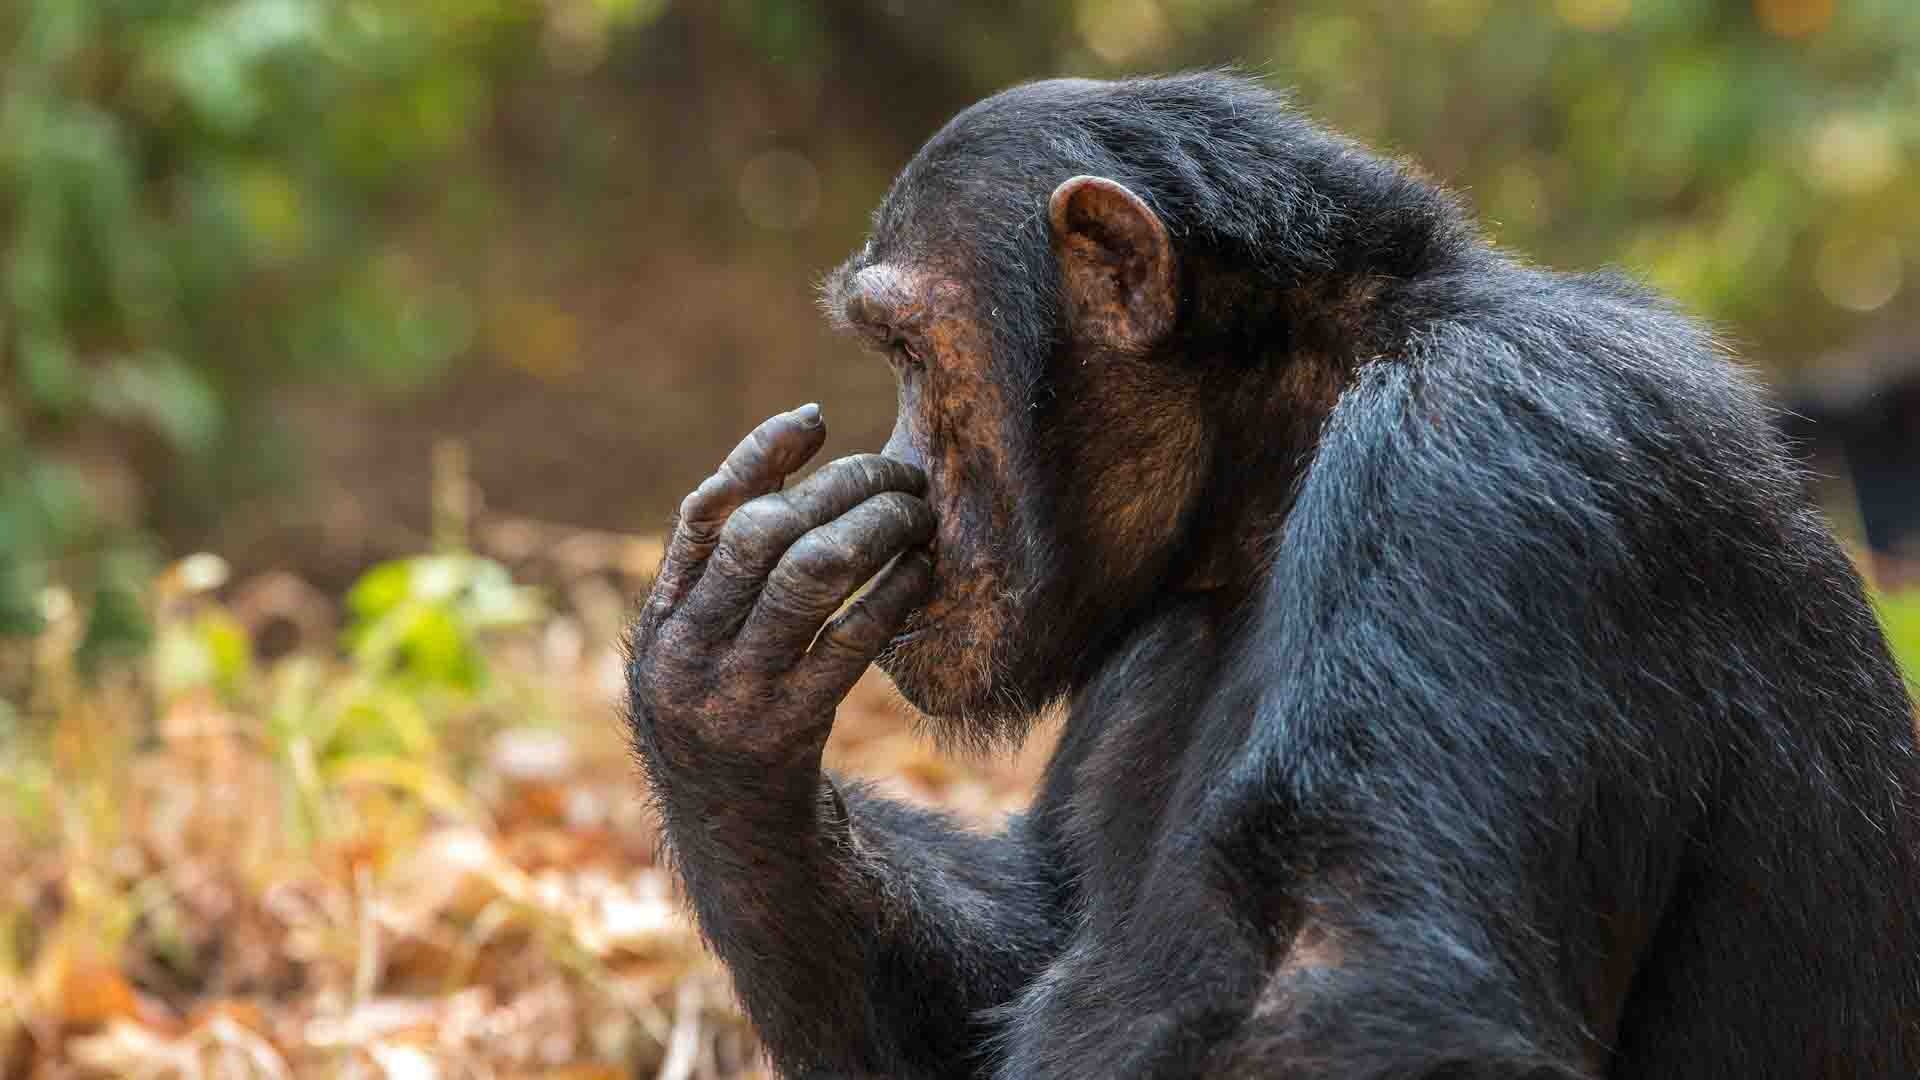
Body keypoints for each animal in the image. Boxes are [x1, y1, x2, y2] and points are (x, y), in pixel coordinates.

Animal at [625, 75, 1920, 1076]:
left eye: (907, 352)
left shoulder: (1480, 460)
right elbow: (1023, 947)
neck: (1269, 476)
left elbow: (1371, 981)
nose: (900, 461)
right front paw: (715, 701)